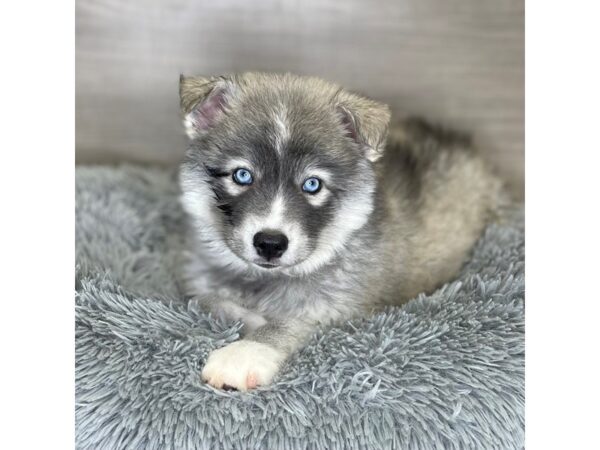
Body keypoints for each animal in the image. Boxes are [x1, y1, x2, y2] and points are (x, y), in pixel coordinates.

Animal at [178, 72, 506, 388]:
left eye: (312, 184)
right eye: (242, 175)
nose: (270, 243)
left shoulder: (341, 307)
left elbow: (288, 323)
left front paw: (246, 352)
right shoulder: (198, 286)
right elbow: (214, 302)